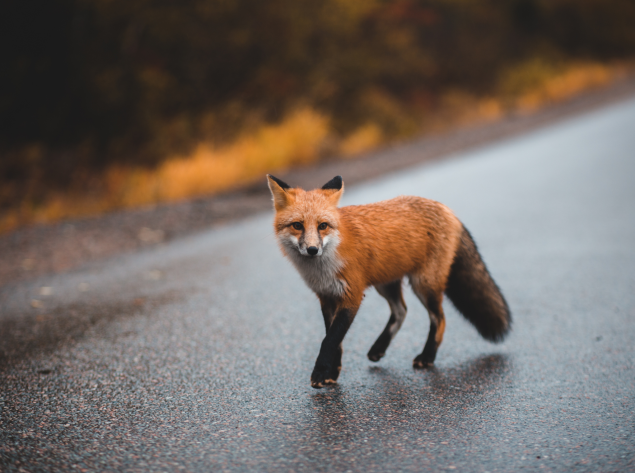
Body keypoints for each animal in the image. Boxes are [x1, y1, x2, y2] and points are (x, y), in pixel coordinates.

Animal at [268, 173, 512, 388]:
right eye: (297, 225)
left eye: (322, 226)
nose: (312, 249)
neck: (325, 265)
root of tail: (446, 209)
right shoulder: (327, 297)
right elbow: (335, 340)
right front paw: (332, 372)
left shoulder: (352, 295)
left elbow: (329, 340)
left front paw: (320, 373)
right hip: (386, 284)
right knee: (401, 311)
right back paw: (379, 348)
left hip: (423, 284)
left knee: (439, 319)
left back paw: (427, 357)